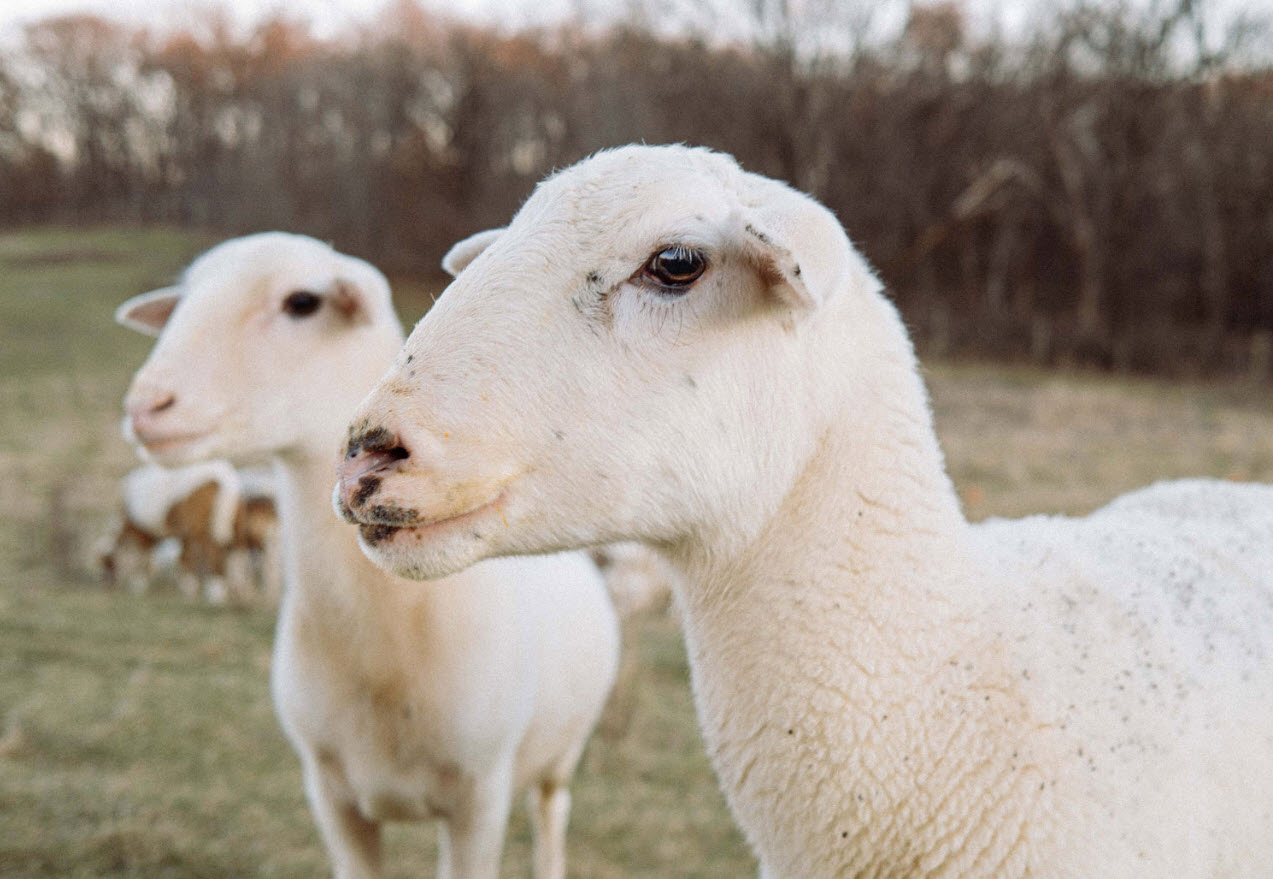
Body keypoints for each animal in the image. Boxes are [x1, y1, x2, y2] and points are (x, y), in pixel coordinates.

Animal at [114, 230, 621, 876]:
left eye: (302, 303)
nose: (147, 406)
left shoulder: (481, 796)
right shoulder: (331, 796)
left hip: (559, 757)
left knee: (552, 818)